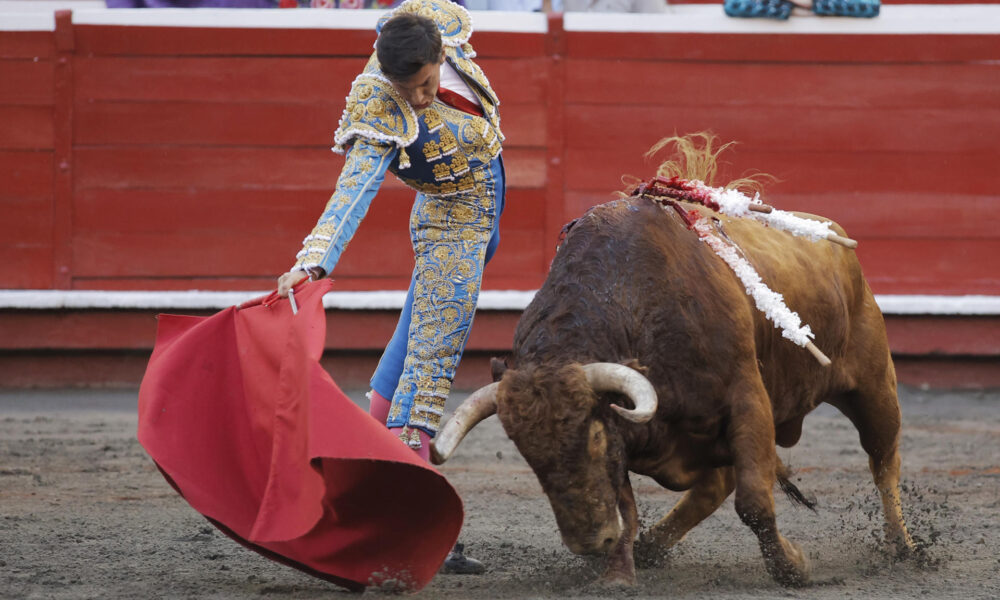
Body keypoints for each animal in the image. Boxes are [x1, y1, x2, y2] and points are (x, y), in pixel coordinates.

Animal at [428, 150, 916, 584]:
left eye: (593, 436)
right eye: (528, 455)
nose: (588, 542)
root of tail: (833, 233)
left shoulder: (747, 400)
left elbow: (754, 501)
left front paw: (793, 569)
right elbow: (628, 506)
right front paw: (619, 572)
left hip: (873, 386)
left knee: (883, 458)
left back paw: (904, 547)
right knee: (713, 486)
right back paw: (652, 548)